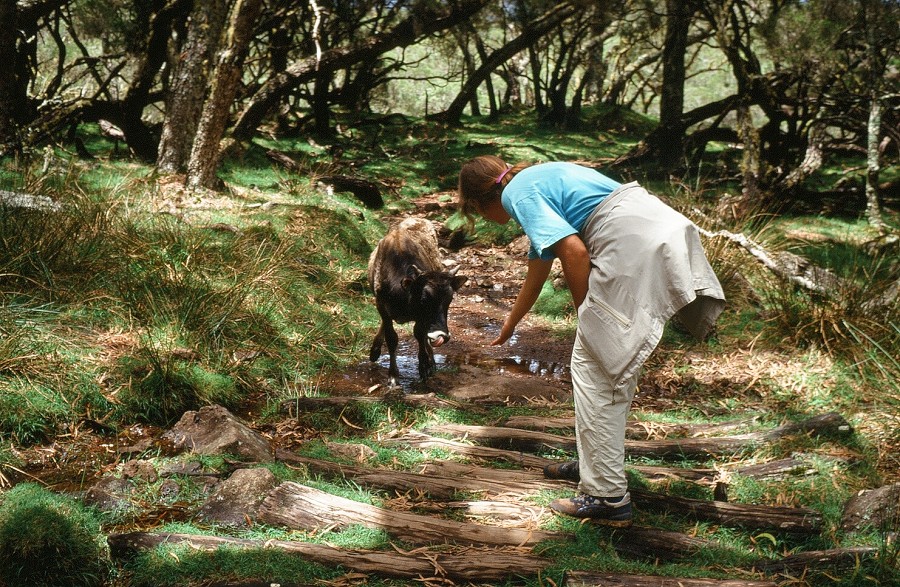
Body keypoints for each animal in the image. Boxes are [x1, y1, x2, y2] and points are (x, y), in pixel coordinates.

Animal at [368, 217, 468, 382]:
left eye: (449, 299)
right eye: (424, 298)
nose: (441, 335)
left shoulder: (421, 318)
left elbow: (420, 335)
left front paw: (425, 366)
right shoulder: (382, 306)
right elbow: (392, 337)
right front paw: (393, 375)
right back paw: (375, 351)